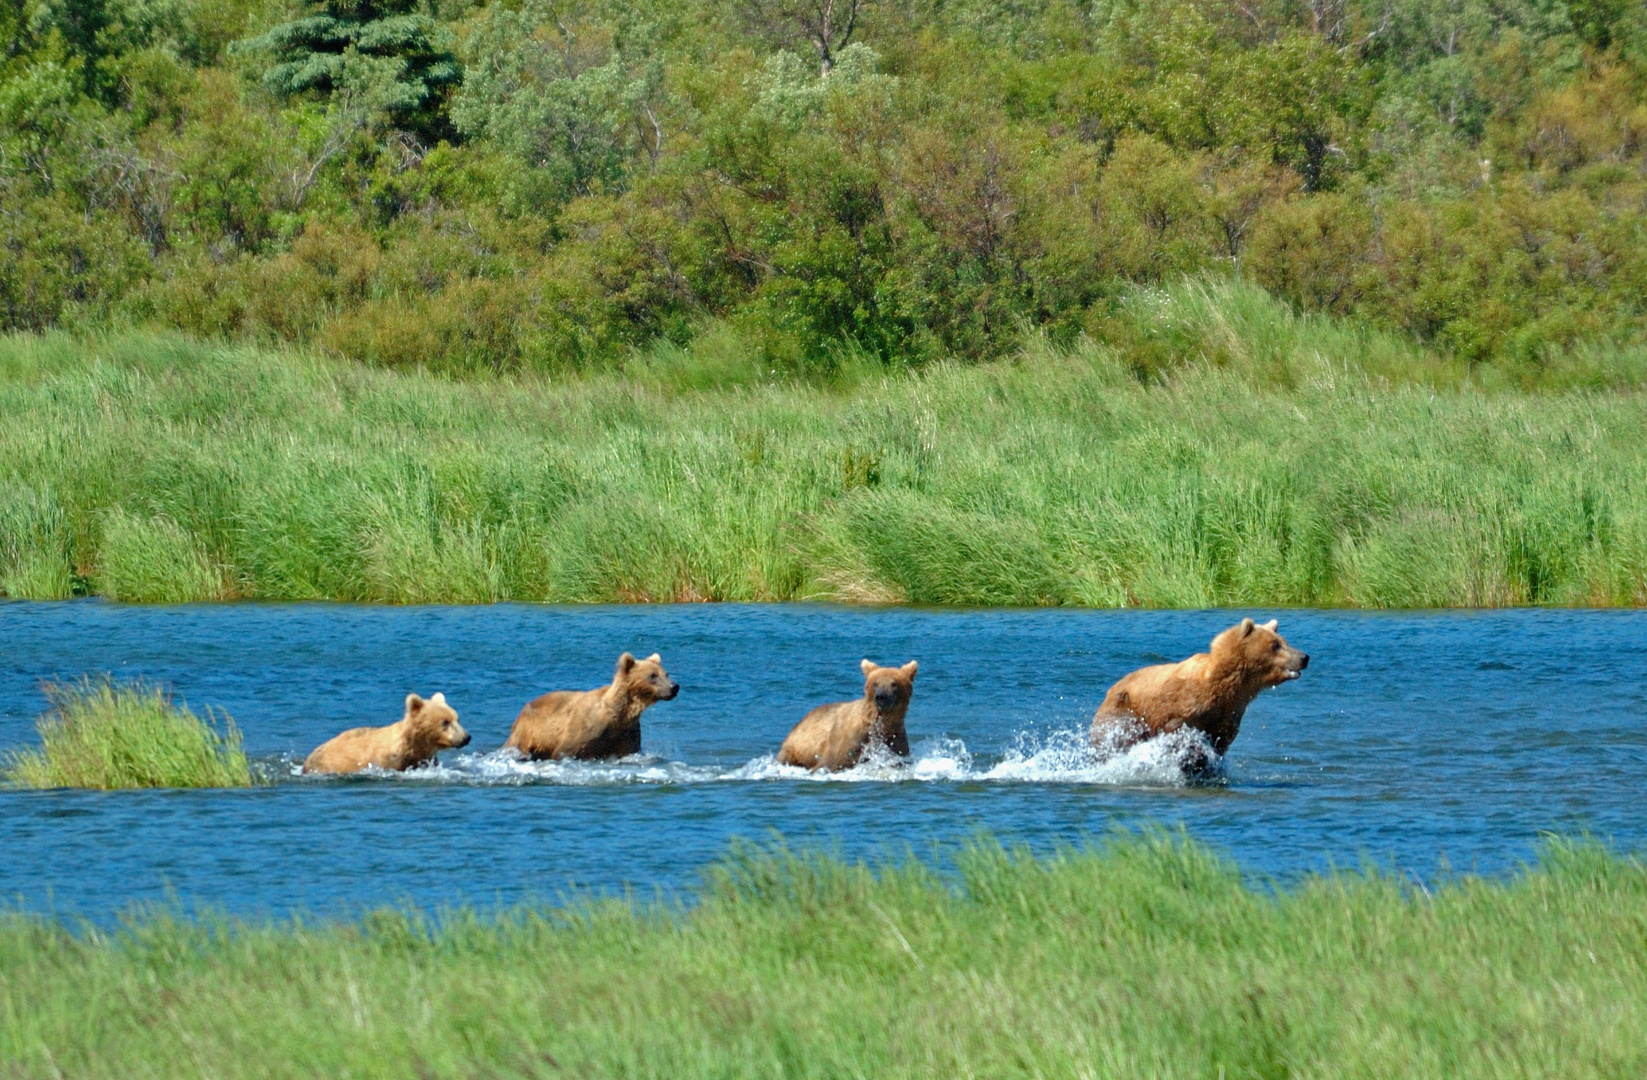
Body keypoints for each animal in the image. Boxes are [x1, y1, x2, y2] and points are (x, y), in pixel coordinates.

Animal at [503, 648, 678, 760]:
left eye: (666, 673)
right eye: (653, 675)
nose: (674, 687)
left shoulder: (626, 733)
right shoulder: (585, 728)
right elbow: (566, 751)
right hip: (528, 734)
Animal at [777, 658, 922, 767]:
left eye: (894, 684)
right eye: (875, 683)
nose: (881, 697)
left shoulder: (895, 740)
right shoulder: (850, 739)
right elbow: (831, 762)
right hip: (795, 746)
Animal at [1087, 615, 1304, 767]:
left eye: (1284, 641)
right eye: (1275, 645)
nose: (1304, 657)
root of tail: (1109, 691)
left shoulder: (1228, 714)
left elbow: (1220, 742)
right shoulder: (1184, 703)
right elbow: (1177, 728)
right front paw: (1193, 755)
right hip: (1122, 711)